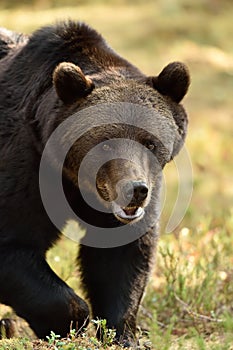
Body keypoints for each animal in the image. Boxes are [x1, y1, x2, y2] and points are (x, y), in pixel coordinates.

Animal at [0, 20, 189, 346]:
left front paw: (123, 334)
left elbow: (120, 259)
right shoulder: (23, 166)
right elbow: (14, 242)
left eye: (150, 142)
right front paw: (68, 322)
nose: (134, 191)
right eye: (105, 144)